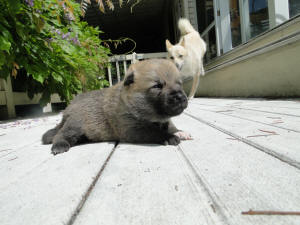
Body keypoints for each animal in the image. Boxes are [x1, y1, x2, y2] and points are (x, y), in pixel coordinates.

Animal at [42, 58, 188, 155]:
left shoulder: (163, 120)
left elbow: (170, 125)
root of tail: (69, 108)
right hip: (76, 124)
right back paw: (60, 145)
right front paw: (169, 137)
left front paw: (179, 132)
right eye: (157, 86)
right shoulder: (132, 129)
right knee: (61, 134)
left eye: (179, 83)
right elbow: (154, 132)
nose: (180, 97)